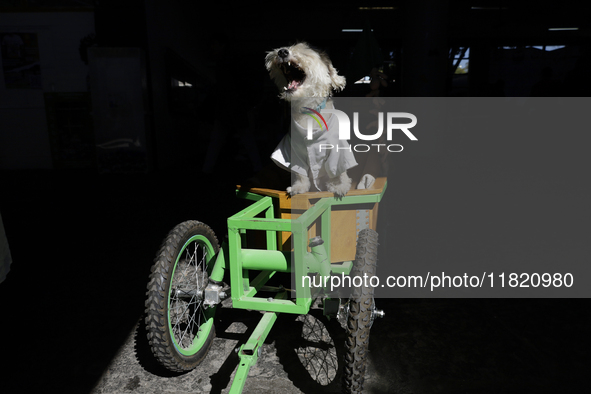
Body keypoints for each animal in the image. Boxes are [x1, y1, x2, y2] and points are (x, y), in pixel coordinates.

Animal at [266, 43, 358, 197]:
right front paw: (299, 187)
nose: (282, 52)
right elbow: (299, 173)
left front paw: (339, 186)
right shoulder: (293, 150)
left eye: (304, 52)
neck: (309, 111)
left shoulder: (337, 150)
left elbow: (338, 170)